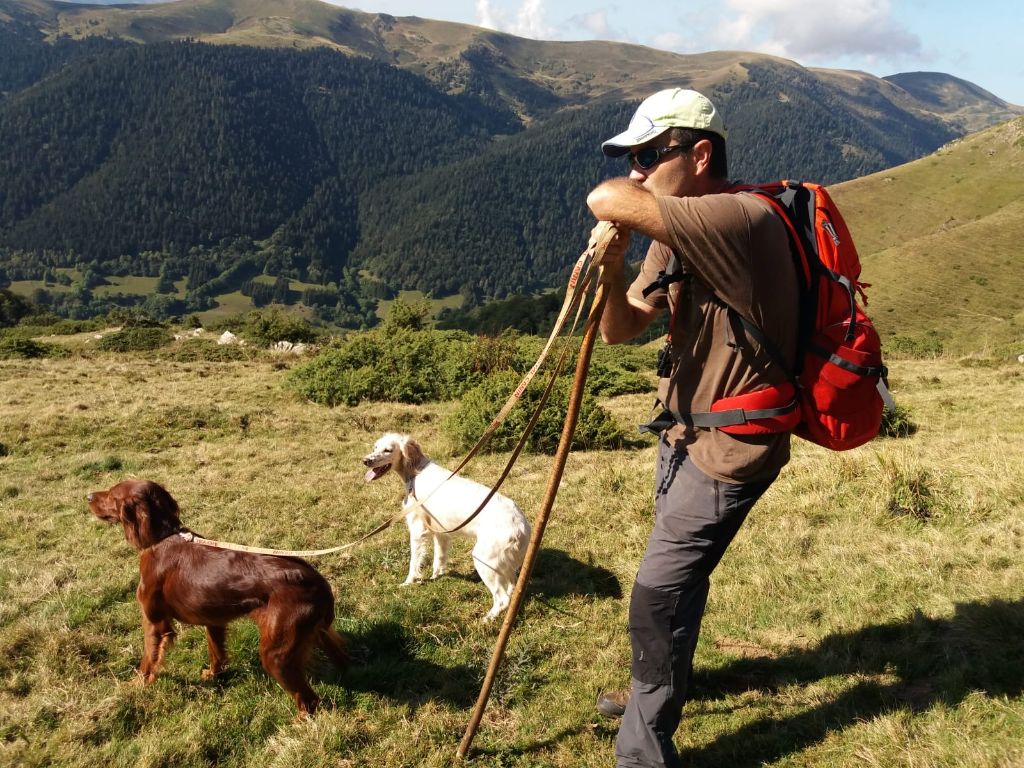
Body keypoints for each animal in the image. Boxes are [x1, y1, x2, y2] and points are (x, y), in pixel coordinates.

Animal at [89, 479, 344, 720]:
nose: (88, 496)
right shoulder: (213, 621)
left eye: (111, 494)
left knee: (309, 698)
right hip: (317, 634)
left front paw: (135, 686)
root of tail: (318, 582)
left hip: (276, 653)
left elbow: (147, 660)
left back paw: (299, 721)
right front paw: (213, 675)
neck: (161, 539)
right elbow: (216, 652)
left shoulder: (155, 622)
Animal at [364, 434, 532, 618]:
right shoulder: (441, 532)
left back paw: (488, 618)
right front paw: (436, 576)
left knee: (502, 598)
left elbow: (414, 562)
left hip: (485, 561)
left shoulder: (417, 530)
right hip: (504, 566)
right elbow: (439, 558)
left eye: (388, 450)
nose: (366, 460)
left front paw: (409, 582)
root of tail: (522, 526)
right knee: (511, 589)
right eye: (375, 447)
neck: (416, 472)